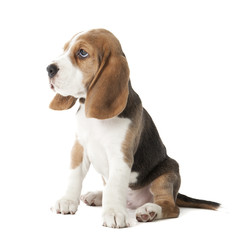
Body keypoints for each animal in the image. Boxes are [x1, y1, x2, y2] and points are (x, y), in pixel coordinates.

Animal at [46, 29, 219, 228]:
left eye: (82, 53)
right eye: (65, 49)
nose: (49, 69)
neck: (95, 118)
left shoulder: (121, 156)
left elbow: (114, 186)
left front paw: (113, 213)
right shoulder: (79, 148)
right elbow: (74, 176)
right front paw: (67, 201)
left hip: (166, 174)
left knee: (171, 206)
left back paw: (149, 210)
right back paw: (98, 196)